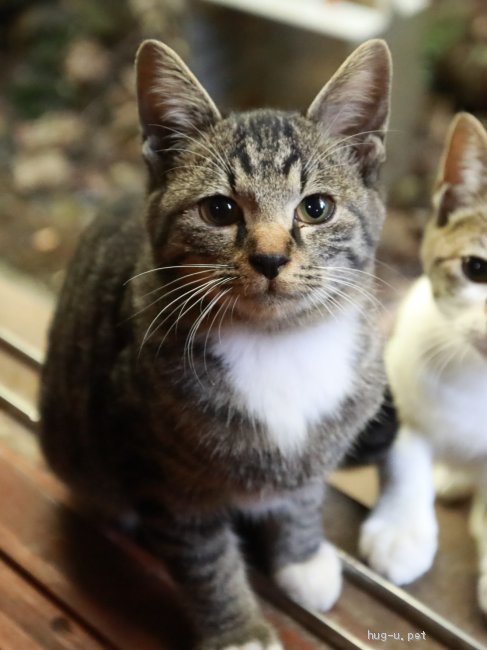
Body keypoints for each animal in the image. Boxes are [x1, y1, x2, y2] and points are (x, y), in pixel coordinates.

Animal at [41, 38, 392, 644]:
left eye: (316, 207)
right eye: (220, 209)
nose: (270, 258)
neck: (279, 342)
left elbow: (302, 493)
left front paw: (301, 556)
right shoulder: (160, 476)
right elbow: (205, 563)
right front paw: (239, 631)